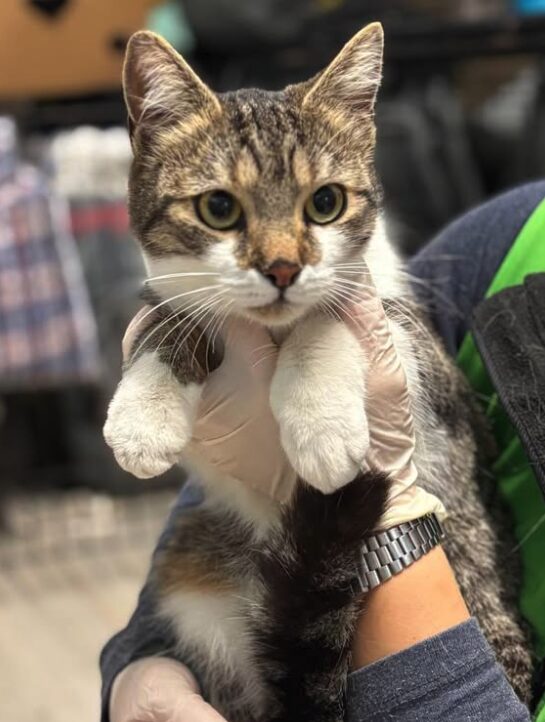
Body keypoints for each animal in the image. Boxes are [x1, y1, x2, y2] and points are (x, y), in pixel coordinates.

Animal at [104, 22, 532, 720]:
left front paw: (322, 429)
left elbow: (334, 313)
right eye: (218, 208)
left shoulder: (423, 354)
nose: (282, 268)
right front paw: (142, 418)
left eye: (325, 203)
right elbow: (169, 318)